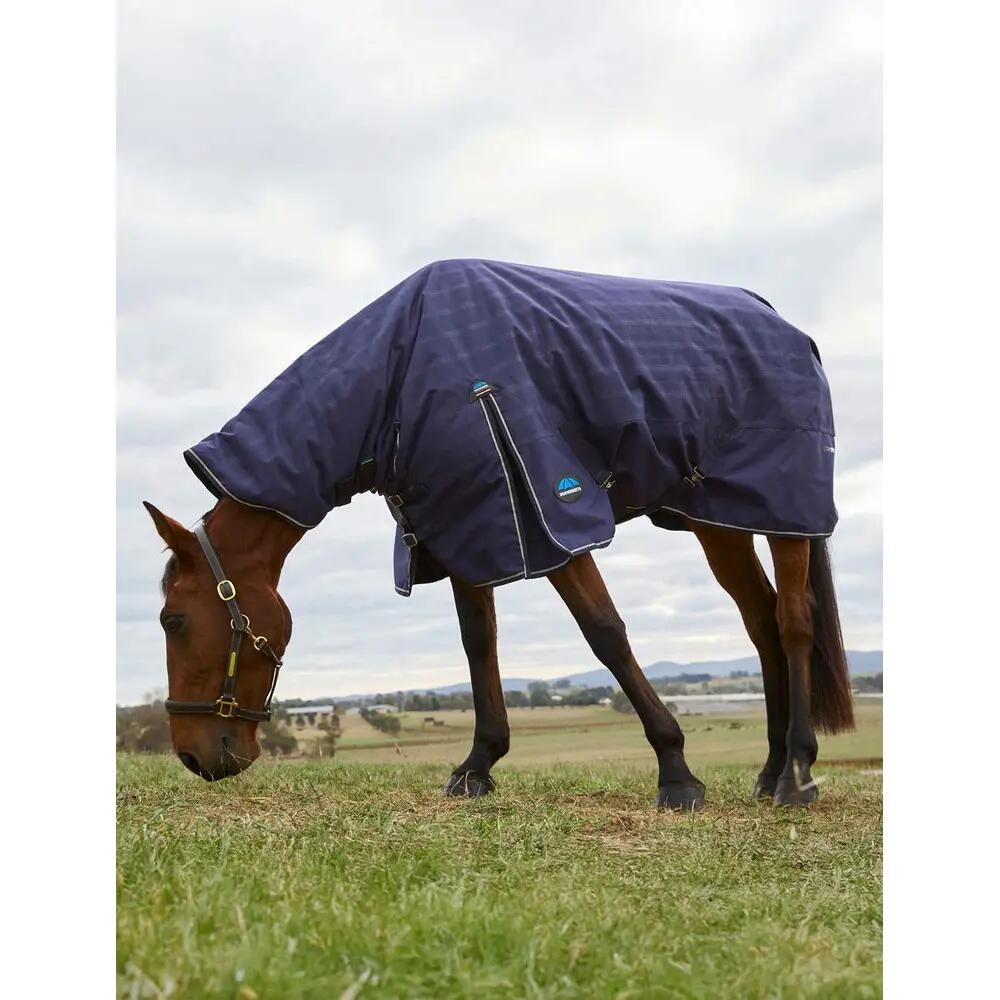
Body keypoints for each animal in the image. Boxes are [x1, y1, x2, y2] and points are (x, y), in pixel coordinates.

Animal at [144, 258, 855, 809]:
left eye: (173, 620)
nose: (192, 757)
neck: (398, 372)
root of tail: (785, 325)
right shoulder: (465, 525)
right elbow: (477, 644)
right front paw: (478, 766)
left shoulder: (548, 515)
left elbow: (605, 634)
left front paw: (676, 773)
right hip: (724, 519)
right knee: (760, 623)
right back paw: (769, 771)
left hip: (787, 510)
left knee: (793, 621)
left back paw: (796, 775)